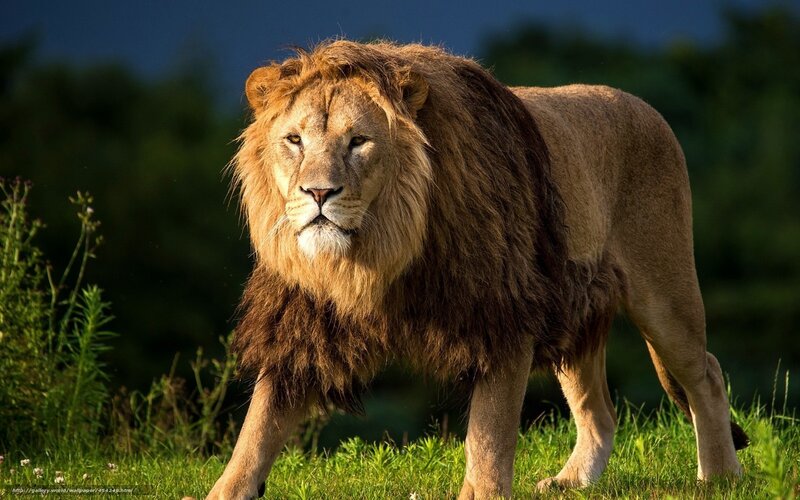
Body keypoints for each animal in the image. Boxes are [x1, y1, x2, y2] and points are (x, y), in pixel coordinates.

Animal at [207, 41, 748, 499]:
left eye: (358, 141)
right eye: (294, 140)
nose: (318, 193)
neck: (375, 254)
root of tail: (646, 107)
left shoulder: (502, 312)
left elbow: (489, 431)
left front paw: (483, 491)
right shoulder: (301, 321)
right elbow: (258, 426)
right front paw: (224, 490)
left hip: (664, 295)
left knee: (706, 373)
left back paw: (720, 477)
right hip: (574, 308)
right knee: (600, 410)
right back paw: (572, 481)